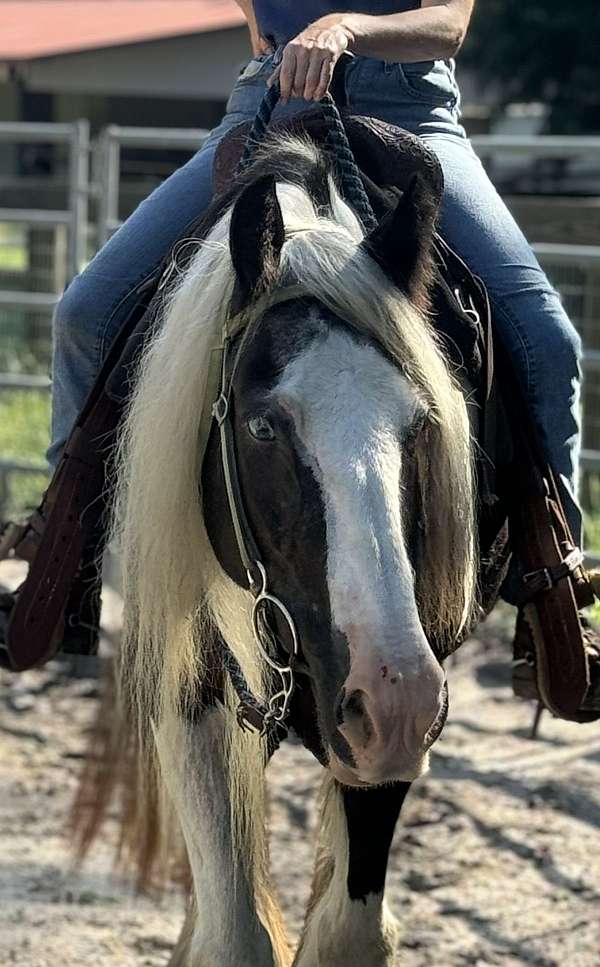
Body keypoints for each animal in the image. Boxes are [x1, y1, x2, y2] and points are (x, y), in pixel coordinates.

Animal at [71, 130, 478, 967]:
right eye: (262, 425)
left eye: (420, 422)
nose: (393, 698)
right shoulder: (189, 696)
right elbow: (236, 932)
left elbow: (349, 930)